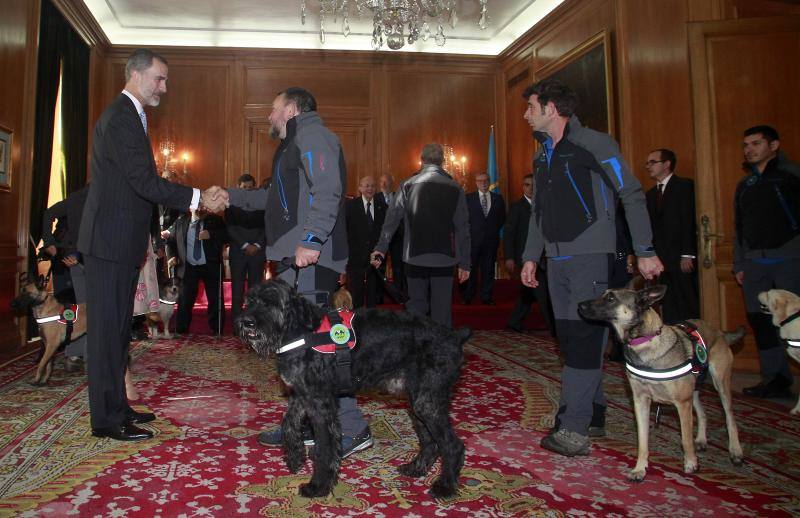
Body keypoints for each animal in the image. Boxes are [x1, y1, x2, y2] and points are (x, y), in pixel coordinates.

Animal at [234, 280, 472, 500]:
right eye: (250, 301)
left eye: (271, 302)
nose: (246, 322)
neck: (298, 330)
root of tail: (455, 337)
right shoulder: (302, 395)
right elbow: (289, 423)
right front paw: (295, 457)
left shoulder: (320, 404)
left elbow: (325, 448)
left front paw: (318, 486)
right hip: (417, 403)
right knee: (430, 441)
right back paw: (416, 468)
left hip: (427, 402)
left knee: (453, 446)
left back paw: (445, 486)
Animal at [580, 284, 748, 484]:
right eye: (603, 294)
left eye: (611, 298)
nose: (580, 305)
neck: (646, 341)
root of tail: (720, 331)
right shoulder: (641, 401)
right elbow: (642, 440)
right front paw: (639, 469)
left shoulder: (682, 403)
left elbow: (685, 439)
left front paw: (691, 463)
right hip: (694, 389)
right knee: (703, 412)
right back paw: (701, 439)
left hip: (720, 383)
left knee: (729, 417)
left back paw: (735, 451)